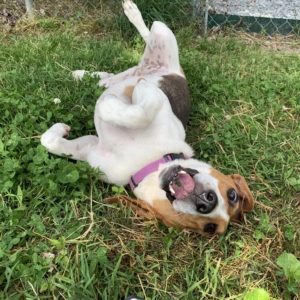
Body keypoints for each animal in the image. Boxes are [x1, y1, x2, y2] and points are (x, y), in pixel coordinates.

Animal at [41, 0, 254, 236]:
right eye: (232, 193)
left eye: (209, 227)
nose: (207, 202)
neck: (147, 161)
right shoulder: (155, 99)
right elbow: (140, 110)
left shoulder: (90, 149)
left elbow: (51, 141)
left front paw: (75, 122)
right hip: (163, 33)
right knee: (147, 36)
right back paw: (131, 15)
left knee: (114, 76)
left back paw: (93, 78)